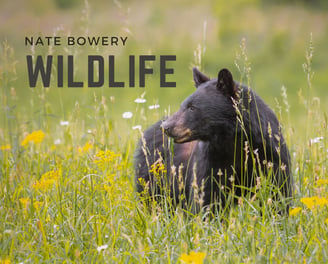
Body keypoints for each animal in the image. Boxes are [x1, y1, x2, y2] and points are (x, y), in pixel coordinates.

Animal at [135, 67, 294, 213]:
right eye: (183, 106)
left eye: (192, 107)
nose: (166, 127)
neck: (233, 140)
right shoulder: (211, 159)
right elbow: (206, 195)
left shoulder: (270, 155)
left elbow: (278, 191)